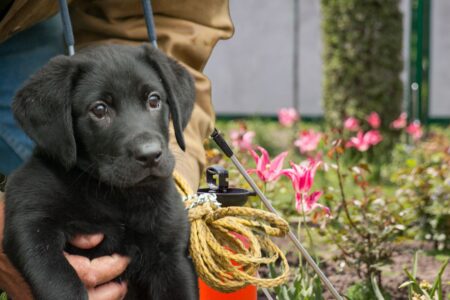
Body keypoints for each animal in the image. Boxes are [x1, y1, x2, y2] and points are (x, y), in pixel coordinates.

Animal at [2, 44, 198, 300]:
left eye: (154, 100)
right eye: (99, 109)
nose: (150, 155)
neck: (114, 197)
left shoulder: (171, 253)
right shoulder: (30, 224)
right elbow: (61, 282)